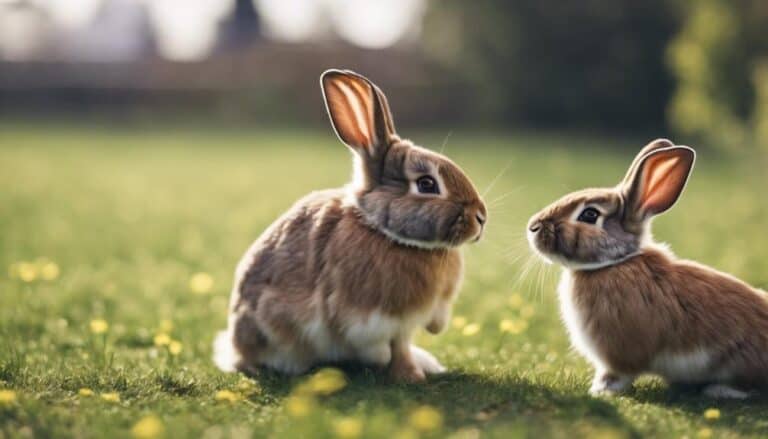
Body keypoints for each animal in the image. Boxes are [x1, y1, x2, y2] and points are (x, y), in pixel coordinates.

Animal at [213, 69, 487, 382]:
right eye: (427, 184)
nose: (481, 217)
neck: (384, 231)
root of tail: (234, 347)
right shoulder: (373, 319)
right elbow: (393, 344)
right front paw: (407, 375)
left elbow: (413, 337)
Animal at [527, 138, 768, 399]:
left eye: (589, 214)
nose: (533, 227)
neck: (615, 262)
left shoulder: (619, 353)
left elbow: (616, 374)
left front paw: (600, 392)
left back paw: (719, 390)